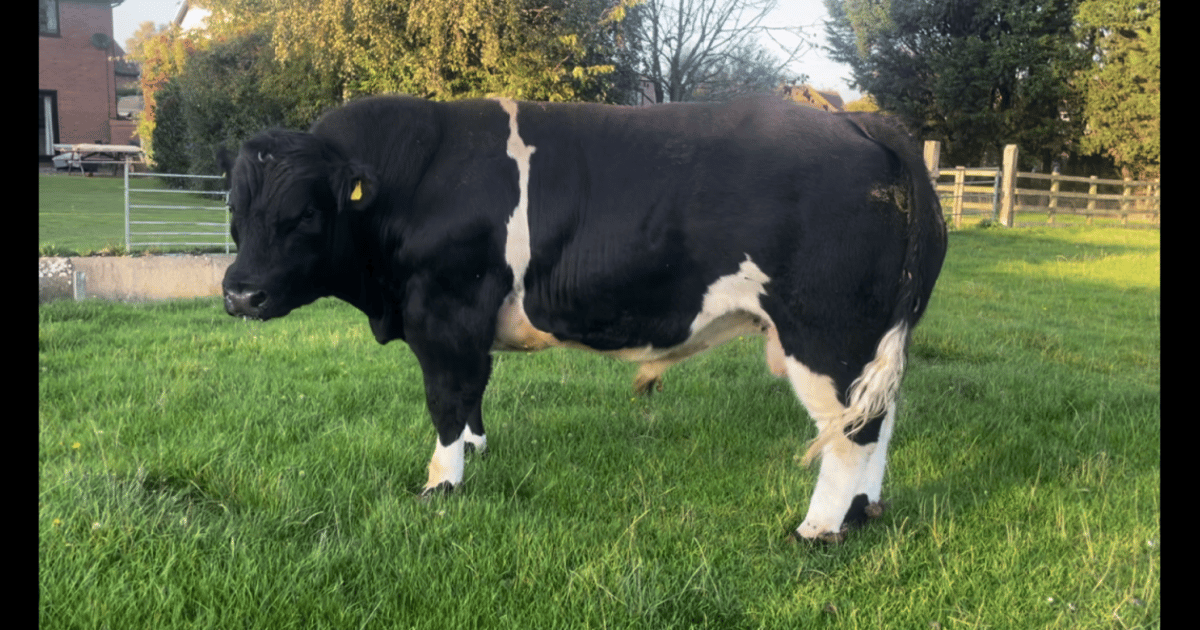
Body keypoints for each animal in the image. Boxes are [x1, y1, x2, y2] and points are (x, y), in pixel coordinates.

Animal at [221, 94, 947, 543]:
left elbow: (447, 397)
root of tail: (862, 124)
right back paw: (863, 512)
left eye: (305, 212)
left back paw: (819, 528)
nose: (239, 294)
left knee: (852, 430)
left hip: (827, 332)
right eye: (235, 208)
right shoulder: (469, 320)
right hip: (872, 341)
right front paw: (476, 452)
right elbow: (475, 393)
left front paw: (441, 486)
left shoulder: (444, 309)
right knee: (878, 419)